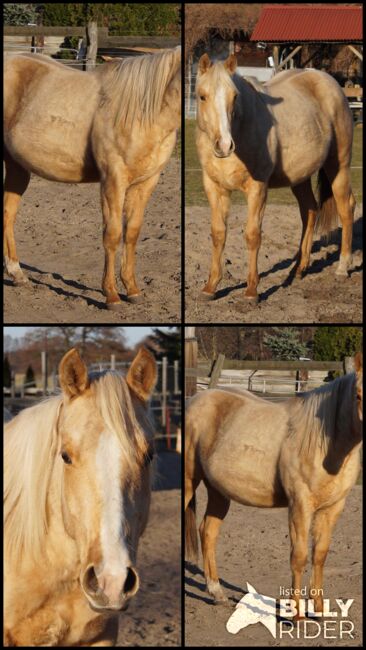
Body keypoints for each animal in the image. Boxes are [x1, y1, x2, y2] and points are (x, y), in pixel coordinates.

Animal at [2, 48, 180, 308]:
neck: (144, 110)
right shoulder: (113, 180)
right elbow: (113, 234)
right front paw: (111, 294)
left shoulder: (146, 183)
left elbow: (132, 233)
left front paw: (133, 290)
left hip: (17, 167)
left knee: (8, 214)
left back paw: (17, 274)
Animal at [186, 354, 364, 616]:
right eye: (358, 395)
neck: (326, 444)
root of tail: (195, 399)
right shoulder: (299, 505)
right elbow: (299, 556)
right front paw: (297, 614)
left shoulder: (333, 508)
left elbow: (320, 554)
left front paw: (318, 611)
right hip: (189, 483)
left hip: (218, 491)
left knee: (208, 532)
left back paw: (217, 593)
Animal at [196, 52, 356, 302]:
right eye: (202, 96)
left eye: (234, 97)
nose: (224, 145)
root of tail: (332, 84)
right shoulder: (215, 188)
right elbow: (218, 234)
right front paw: (211, 287)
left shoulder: (257, 188)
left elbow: (253, 235)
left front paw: (252, 291)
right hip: (300, 177)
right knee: (310, 211)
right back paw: (299, 268)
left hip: (338, 167)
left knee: (346, 208)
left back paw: (342, 268)